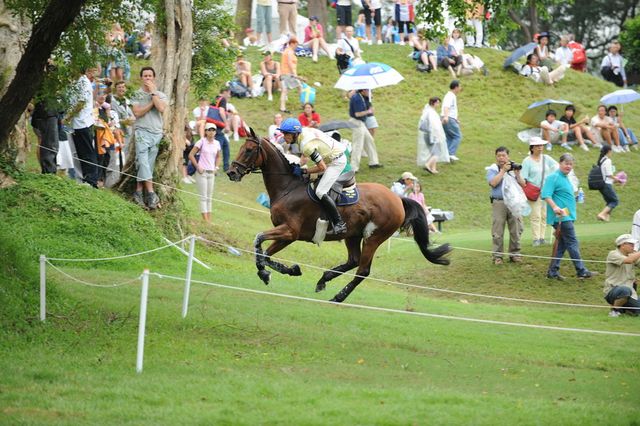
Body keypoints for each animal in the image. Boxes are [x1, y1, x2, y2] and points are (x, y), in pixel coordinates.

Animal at [226, 129, 452, 303]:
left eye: (248, 150)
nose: (231, 172)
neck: (287, 188)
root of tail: (398, 199)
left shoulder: (289, 231)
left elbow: (258, 240)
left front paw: (265, 272)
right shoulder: (287, 235)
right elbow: (265, 253)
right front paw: (287, 270)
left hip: (374, 237)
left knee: (362, 270)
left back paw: (338, 297)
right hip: (353, 235)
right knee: (353, 260)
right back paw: (323, 280)